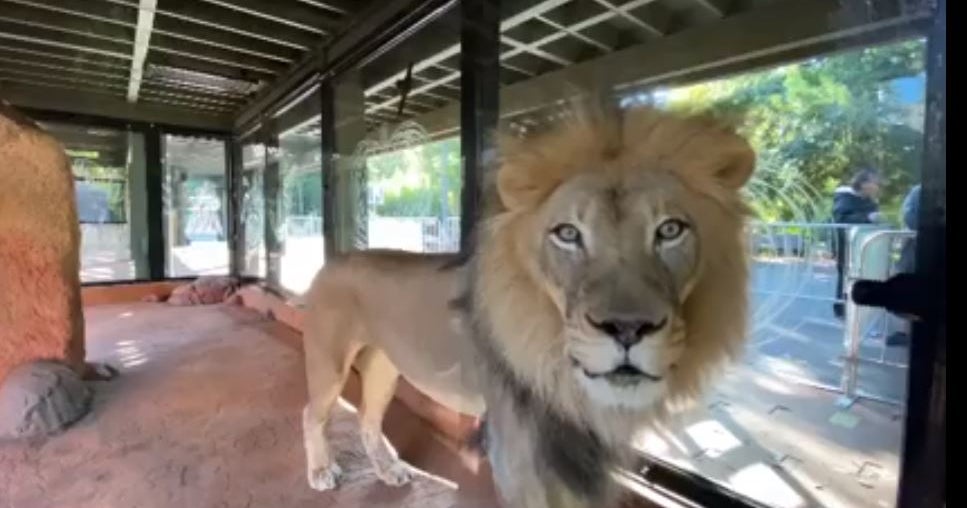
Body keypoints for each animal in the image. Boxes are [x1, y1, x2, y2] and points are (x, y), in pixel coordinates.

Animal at [301, 103, 755, 508]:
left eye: (670, 230)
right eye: (568, 234)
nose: (628, 329)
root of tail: (334, 259)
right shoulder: (516, 445)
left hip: (385, 364)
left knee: (368, 418)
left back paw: (388, 470)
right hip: (328, 362)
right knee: (312, 413)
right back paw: (321, 471)